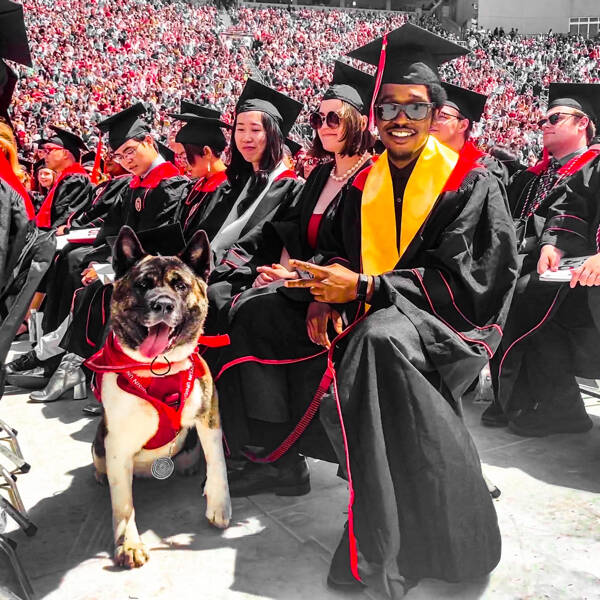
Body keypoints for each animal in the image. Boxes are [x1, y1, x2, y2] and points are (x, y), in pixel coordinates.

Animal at [84, 224, 232, 568]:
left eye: (180, 285)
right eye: (142, 285)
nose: (163, 304)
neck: (159, 368)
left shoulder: (209, 416)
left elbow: (218, 464)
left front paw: (219, 506)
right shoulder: (118, 443)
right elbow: (123, 505)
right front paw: (129, 544)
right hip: (100, 444)